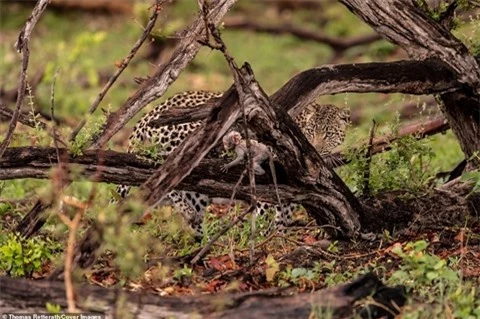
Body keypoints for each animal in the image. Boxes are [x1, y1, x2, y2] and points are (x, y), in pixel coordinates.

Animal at [114, 90, 350, 240]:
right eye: (310, 132)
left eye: (329, 134)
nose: (315, 149)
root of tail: (148, 115)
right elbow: (268, 211)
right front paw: (266, 238)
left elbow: (286, 212)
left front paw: (279, 238)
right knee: (170, 181)